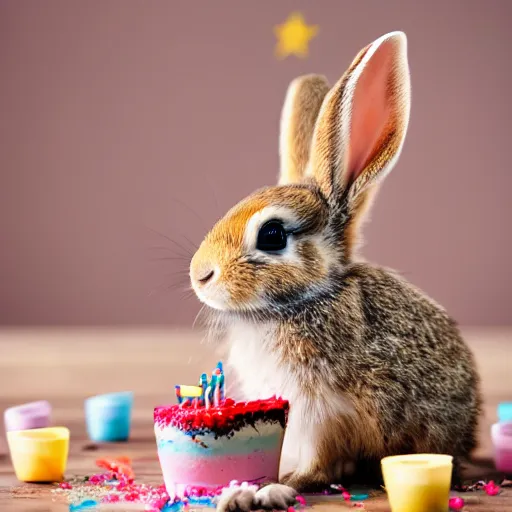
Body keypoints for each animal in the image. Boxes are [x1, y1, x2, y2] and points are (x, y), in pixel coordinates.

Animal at [190, 32, 482, 512]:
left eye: (272, 235)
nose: (200, 274)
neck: (306, 299)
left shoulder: (322, 413)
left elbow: (318, 461)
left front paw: (284, 482)